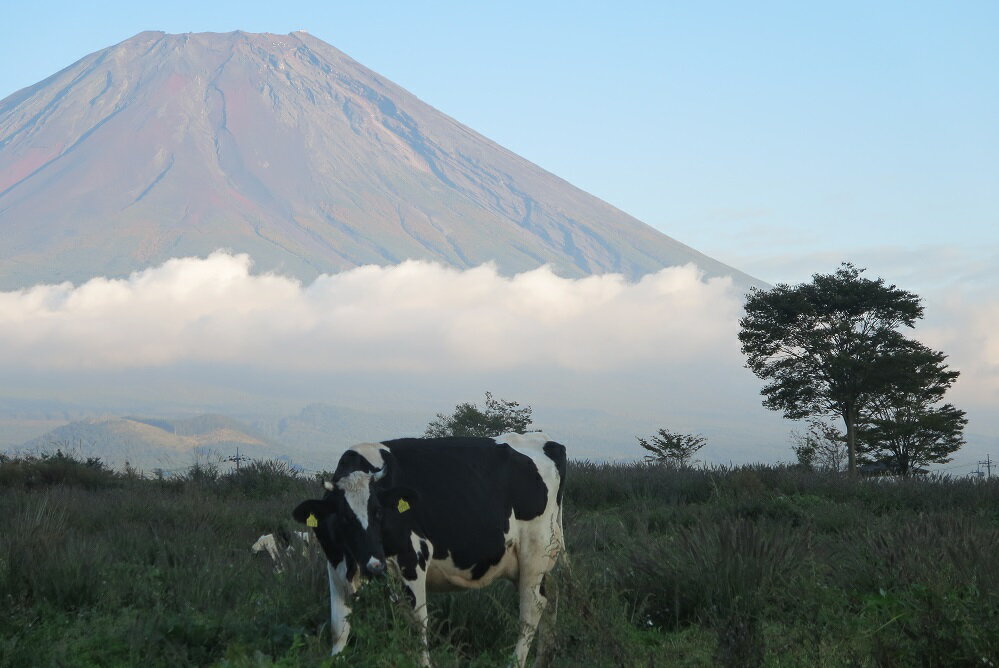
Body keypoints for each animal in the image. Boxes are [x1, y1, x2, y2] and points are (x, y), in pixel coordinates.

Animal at [292, 430, 568, 664]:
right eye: (343, 518)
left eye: (379, 512)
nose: (375, 565)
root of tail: (547, 441)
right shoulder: (335, 565)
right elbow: (338, 627)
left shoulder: (413, 558)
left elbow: (417, 624)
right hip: (538, 559)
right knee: (552, 594)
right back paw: (544, 659)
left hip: (535, 552)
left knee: (532, 608)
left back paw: (517, 661)